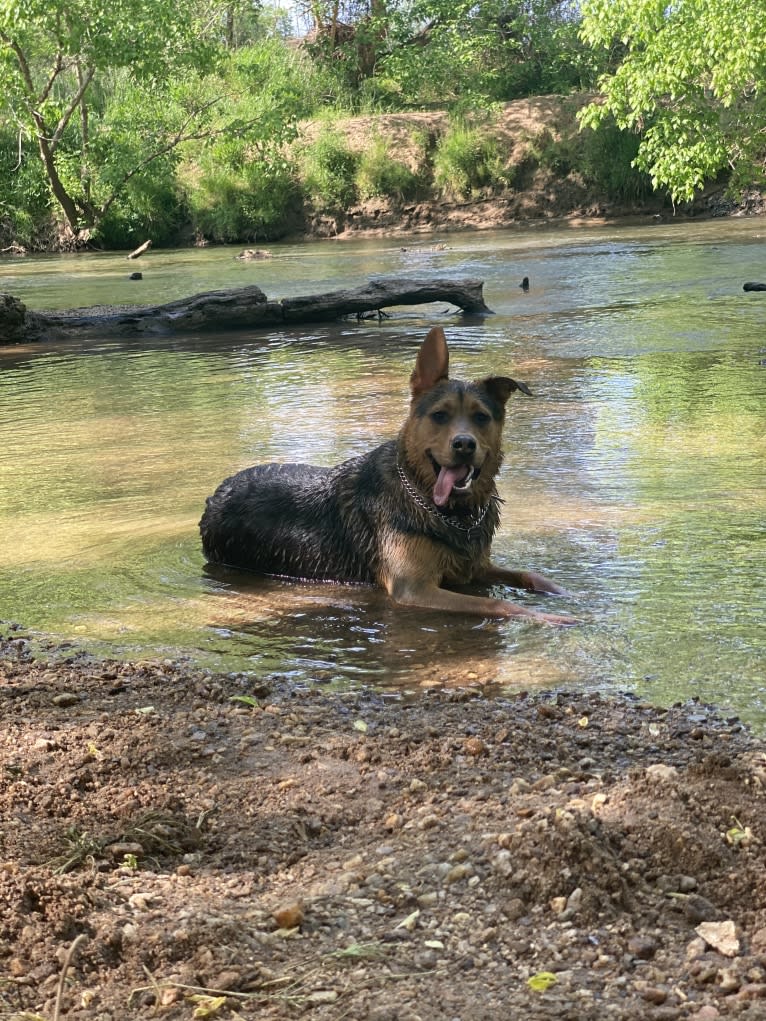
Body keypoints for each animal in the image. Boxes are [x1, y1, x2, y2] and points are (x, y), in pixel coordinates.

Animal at [199, 326, 576, 620]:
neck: (444, 509)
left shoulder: (475, 567)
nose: (464, 444)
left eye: (481, 417)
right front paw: (548, 617)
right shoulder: (415, 589)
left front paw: (565, 593)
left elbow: (530, 575)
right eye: (440, 415)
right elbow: (497, 605)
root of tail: (217, 492)